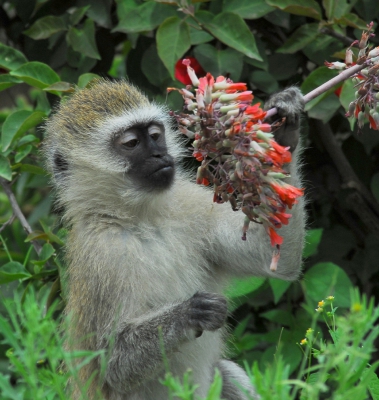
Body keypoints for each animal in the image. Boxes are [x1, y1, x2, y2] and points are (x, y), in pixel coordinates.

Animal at [43, 79, 306, 398]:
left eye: (156, 136)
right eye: (131, 143)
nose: (160, 155)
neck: (141, 219)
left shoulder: (187, 202)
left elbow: (272, 258)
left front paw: (284, 123)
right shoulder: (100, 255)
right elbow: (112, 365)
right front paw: (191, 313)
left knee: (226, 373)